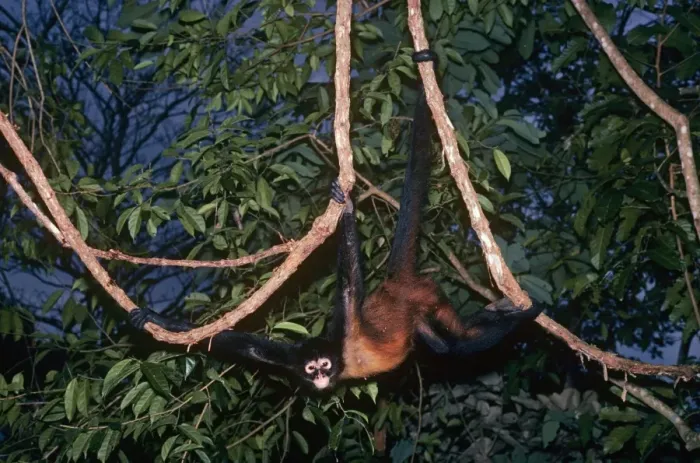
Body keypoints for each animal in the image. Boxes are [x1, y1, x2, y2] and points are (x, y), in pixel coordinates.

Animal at [130, 50, 543, 391]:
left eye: (325, 365)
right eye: (310, 369)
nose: (321, 378)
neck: (341, 356)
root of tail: (394, 285)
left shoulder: (346, 325)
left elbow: (349, 281)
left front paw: (345, 209)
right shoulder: (287, 357)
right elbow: (237, 343)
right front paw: (155, 318)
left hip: (427, 294)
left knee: (460, 343)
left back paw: (522, 315)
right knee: (443, 346)